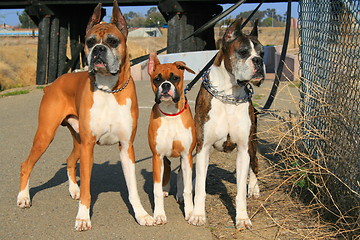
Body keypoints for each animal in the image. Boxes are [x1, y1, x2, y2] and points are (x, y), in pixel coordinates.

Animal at [16, 0, 154, 232]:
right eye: (89, 42)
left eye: (113, 41)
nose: (98, 50)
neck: (108, 89)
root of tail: (52, 84)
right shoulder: (89, 146)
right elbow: (88, 188)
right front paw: (82, 217)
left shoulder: (126, 147)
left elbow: (133, 189)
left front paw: (141, 214)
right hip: (46, 135)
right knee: (27, 165)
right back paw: (23, 197)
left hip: (77, 140)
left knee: (70, 161)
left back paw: (73, 189)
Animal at [147, 53, 195, 225]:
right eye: (157, 79)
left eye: (175, 78)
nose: (166, 85)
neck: (170, 114)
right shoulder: (157, 156)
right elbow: (155, 190)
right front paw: (159, 214)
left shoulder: (187, 155)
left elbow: (188, 188)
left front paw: (190, 212)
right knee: (167, 167)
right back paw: (165, 189)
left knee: (180, 174)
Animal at [188, 18, 264, 229]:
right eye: (244, 52)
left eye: (263, 53)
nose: (259, 61)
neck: (230, 94)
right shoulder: (203, 146)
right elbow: (200, 188)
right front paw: (198, 214)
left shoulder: (243, 149)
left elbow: (240, 192)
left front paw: (242, 218)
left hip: (253, 143)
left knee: (255, 165)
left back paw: (254, 188)